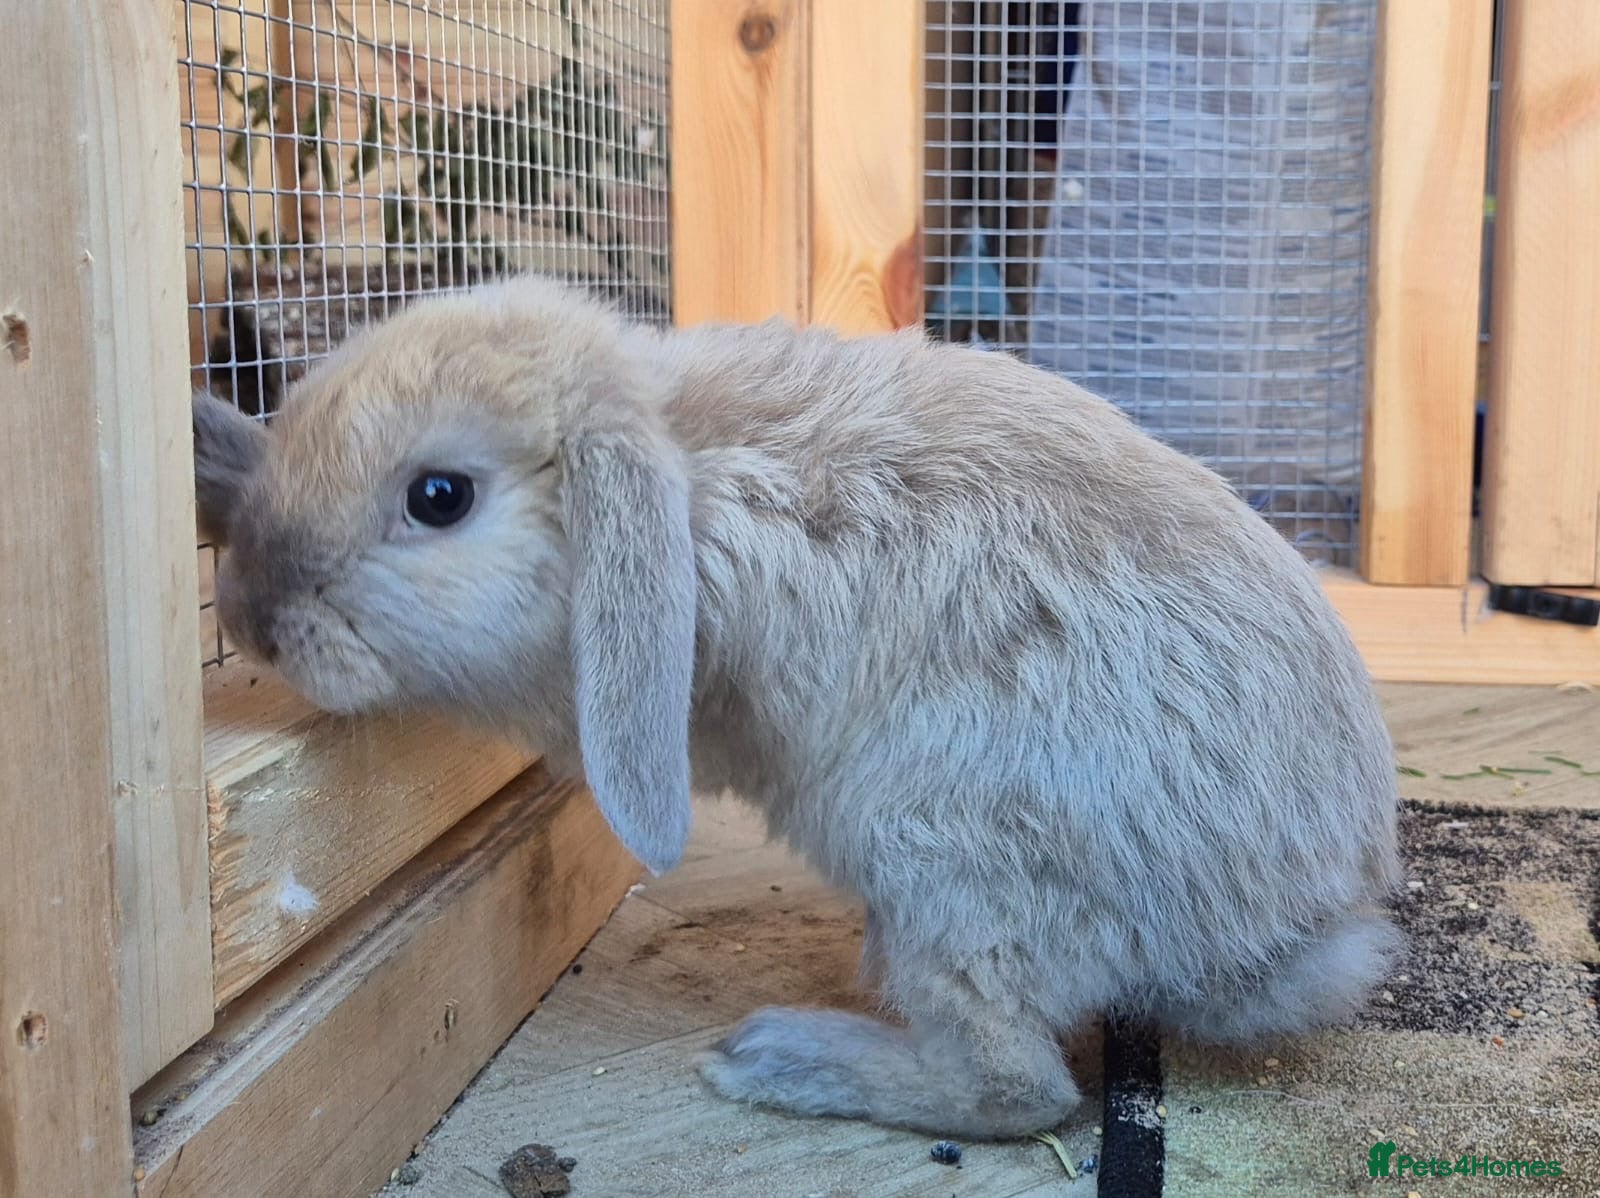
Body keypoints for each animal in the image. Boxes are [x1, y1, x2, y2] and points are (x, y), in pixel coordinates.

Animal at [191, 274, 1402, 1140]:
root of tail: (1293, 935)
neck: (683, 471)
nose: (249, 615)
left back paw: (783, 1057)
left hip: (942, 860)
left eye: (439, 497)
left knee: (1019, 1089)